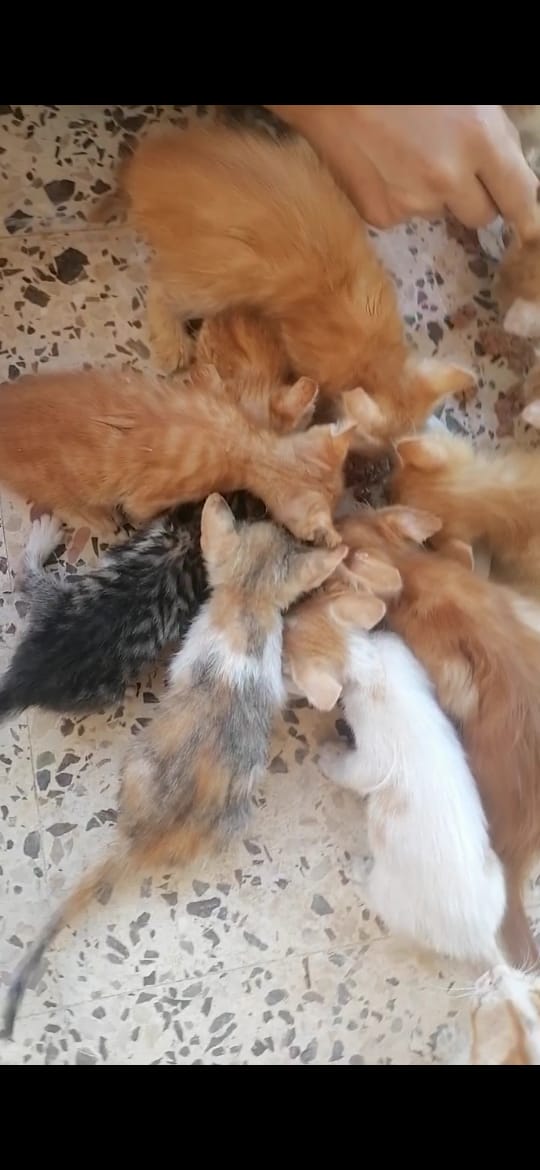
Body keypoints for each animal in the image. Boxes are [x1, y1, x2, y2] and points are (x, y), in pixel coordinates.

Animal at [0, 492, 265, 719]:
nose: (258, 500)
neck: (189, 537)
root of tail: (25, 679)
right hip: (99, 685)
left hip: (52, 601)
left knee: (26, 578)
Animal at [120, 121, 474, 452]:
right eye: (369, 442)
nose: (380, 464)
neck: (375, 353)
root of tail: (148, 164)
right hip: (218, 281)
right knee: (160, 286)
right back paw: (172, 344)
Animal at [336, 505, 540, 970]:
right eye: (354, 514)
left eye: (336, 540)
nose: (334, 515)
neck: (412, 567)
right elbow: (462, 550)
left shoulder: (445, 665)